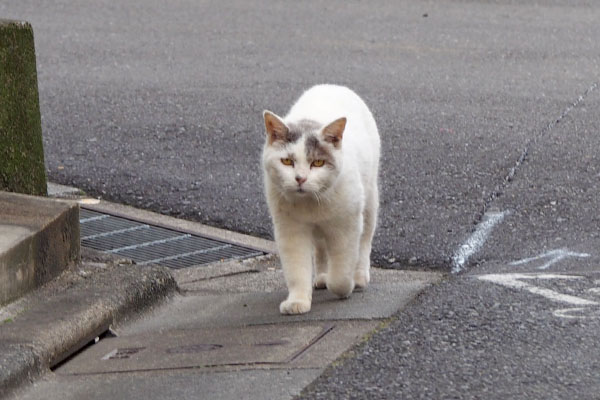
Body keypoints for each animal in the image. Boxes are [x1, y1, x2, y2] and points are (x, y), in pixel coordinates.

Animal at [258, 84, 380, 314]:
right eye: (287, 161)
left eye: (318, 163)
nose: (300, 178)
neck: (311, 203)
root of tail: (333, 85)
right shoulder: (290, 229)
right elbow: (297, 269)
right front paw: (297, 301)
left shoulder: (346, 227)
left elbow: (342, 270)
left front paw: (344, 287)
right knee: (321, 249)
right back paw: (322, 277)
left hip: (369, 203)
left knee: (364, 243)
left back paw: (359, 277)